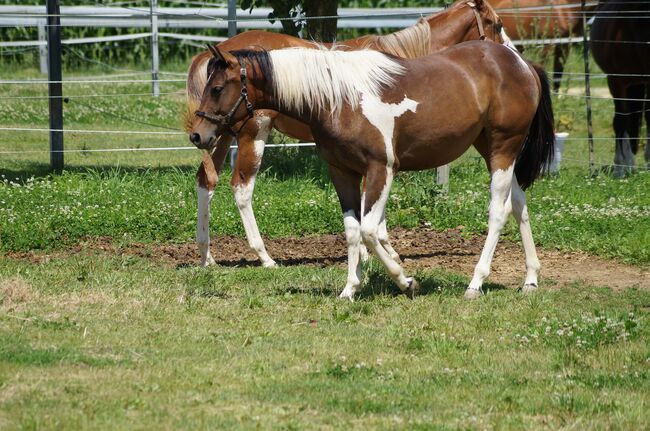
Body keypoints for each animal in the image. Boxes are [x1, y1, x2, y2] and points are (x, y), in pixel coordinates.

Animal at [184, 0, 512, 270]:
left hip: (219, 133)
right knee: (241, 188)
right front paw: (379, 252)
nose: (512, 54)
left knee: (206, 180)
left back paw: (207, 256)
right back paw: (264, 257)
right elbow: (370, 206)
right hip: (253, 134)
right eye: (496, 24)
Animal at [190, 44, 556, 300]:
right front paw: (350, 289)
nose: (197, 135)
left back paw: (475, 283)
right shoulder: (343, 172)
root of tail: (521, 63)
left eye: (218, 88)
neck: (339, 98)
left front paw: (406, 281)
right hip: (491, 149)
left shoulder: (382, 169)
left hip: (503, 147)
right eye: (207, 86)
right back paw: (531, 279)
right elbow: (353, 231)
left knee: (499, 211)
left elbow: (368, 230)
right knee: (519, 204)